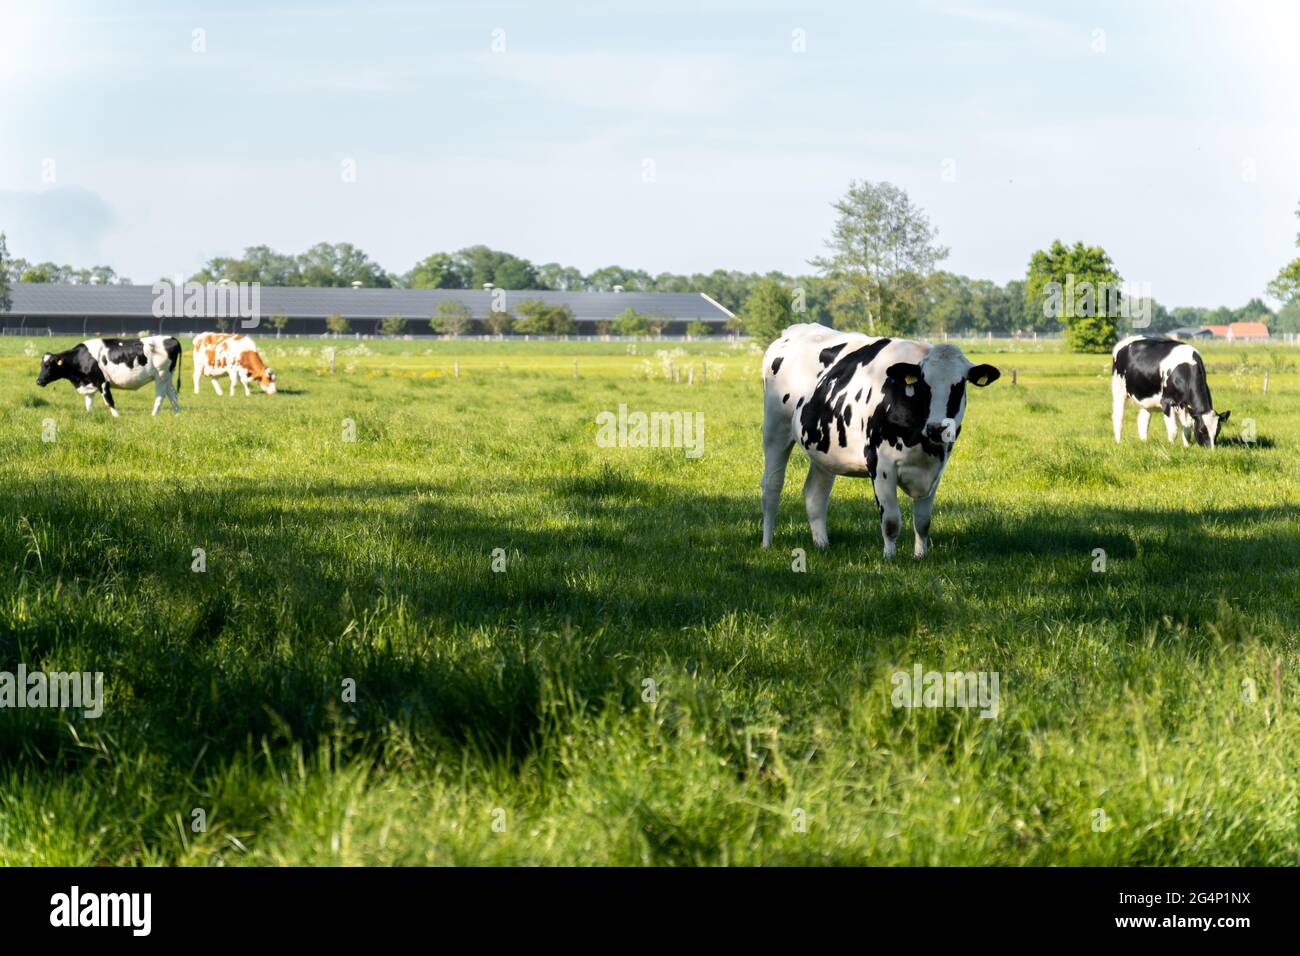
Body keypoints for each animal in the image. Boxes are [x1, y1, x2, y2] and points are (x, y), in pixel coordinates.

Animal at [35, 336, 182, 416]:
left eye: (49, 365)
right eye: (41, 365)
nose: (38, 381)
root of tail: (171, 338)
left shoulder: (102, 382)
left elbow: (109, 401)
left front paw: (117, 416)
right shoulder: (89, 384)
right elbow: (88, 404)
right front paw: (90, 415)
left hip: (161, 375)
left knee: (160, 396)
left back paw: (153, 415)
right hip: (168, 376)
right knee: (172, 394)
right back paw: (177, 415)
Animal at [761, 323, 1000, 558]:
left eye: (959, 386)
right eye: (923, 385)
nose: (937, 428)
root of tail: (792, 331)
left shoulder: (935, 469)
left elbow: (923, 522)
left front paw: (921, 556)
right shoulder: (881, 464)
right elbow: (891, 521)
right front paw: (889, 558)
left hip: (823, 447)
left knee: (815, 494)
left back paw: (822, 545)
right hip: (775, 430)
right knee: (772, 487)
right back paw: (767, 543)